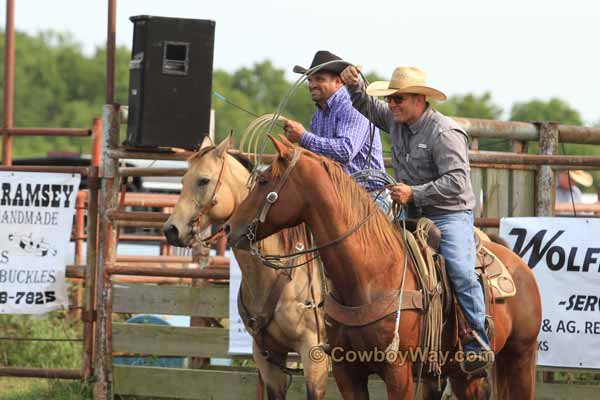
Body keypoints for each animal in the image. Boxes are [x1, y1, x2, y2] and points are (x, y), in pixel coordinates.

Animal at [162, 137, 326, 396]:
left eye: (203, 180)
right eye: (183, 180)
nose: (171, 230)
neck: (280, 272)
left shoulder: (315, 356)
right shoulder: (267, 357)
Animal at [225, 136, 544, 398]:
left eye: (264, 182)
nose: (230, 227)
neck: (369, 275)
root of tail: (518, 264)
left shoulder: (397, 370)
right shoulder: (346, 372)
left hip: (521, 357)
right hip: (459, 372)